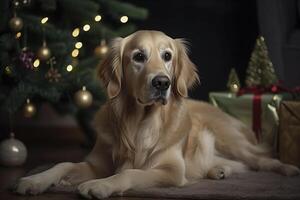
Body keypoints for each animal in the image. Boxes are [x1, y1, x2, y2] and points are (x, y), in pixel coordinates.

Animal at [17, 30, 300, 199]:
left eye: (167, 56)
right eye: (138, 56)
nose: (162, 83)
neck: (139, 123)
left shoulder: (171, 171)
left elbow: (129, 173)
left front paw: (101, 185)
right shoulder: (96, 163)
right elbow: (62, 164)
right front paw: (34, 180)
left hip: (231, 140)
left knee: (262, 160)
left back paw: (289, 170)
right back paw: (218, 170)